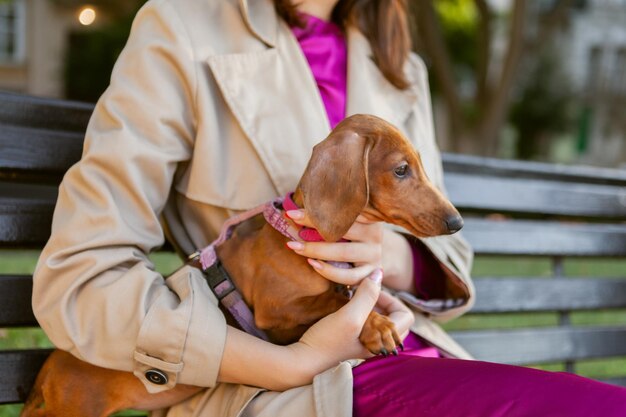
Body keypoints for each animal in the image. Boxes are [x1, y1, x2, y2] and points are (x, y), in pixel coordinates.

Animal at [22, 114, 460, 416]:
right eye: (400, 170)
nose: (456, 222)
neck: (305, 234)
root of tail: (47, 373)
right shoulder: (275, 314)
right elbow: (339, 301)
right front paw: (377, 323)